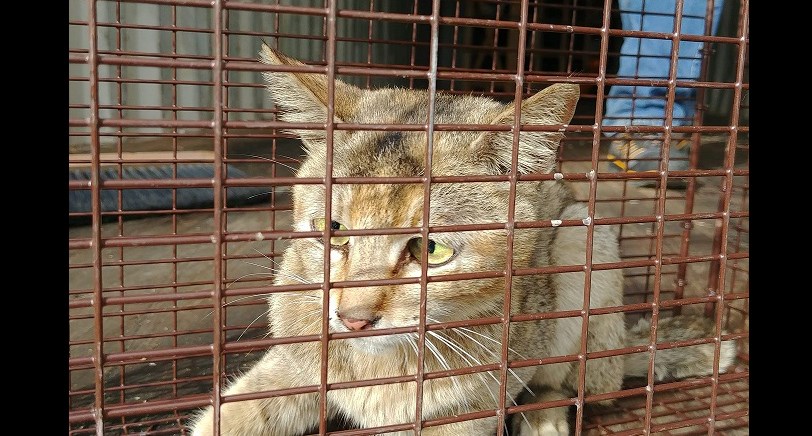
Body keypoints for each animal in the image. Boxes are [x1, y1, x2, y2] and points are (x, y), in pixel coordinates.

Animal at [189, 45, 736, 436]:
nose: (353, 319)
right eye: (332, 230)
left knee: (568, 381)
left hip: (584, 240)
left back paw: (544, 416)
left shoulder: (469, 413)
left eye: (431, 249)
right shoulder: (293, 365)